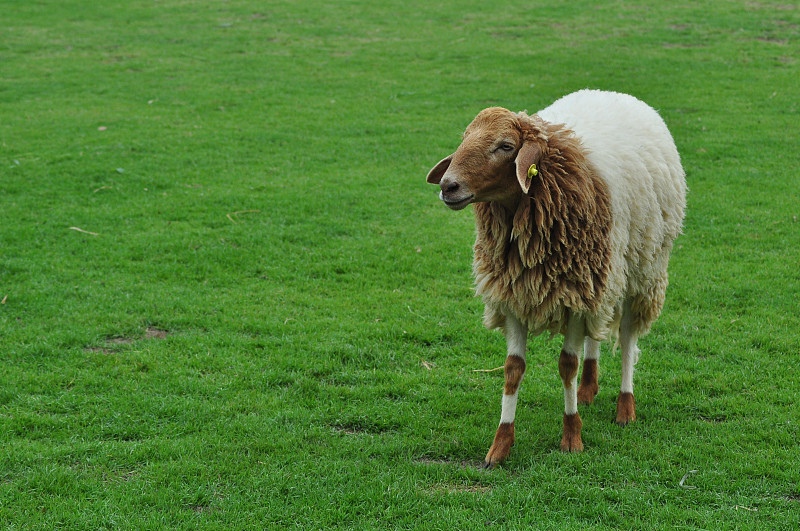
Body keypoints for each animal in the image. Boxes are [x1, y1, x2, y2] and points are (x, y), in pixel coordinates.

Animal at [424, 89, 688, 468]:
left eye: (505, 146)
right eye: (465, 138)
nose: (448, 186)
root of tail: (613, 93)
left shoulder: (574, 298)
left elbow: (566, 364)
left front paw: (572, 437)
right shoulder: (517, 295)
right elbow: (513, 369)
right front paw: (499, 446)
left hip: (640, 271)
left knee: (627, 339)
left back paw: (625, 406)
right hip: (603, 277)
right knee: (598, 332)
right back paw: (588, 388)